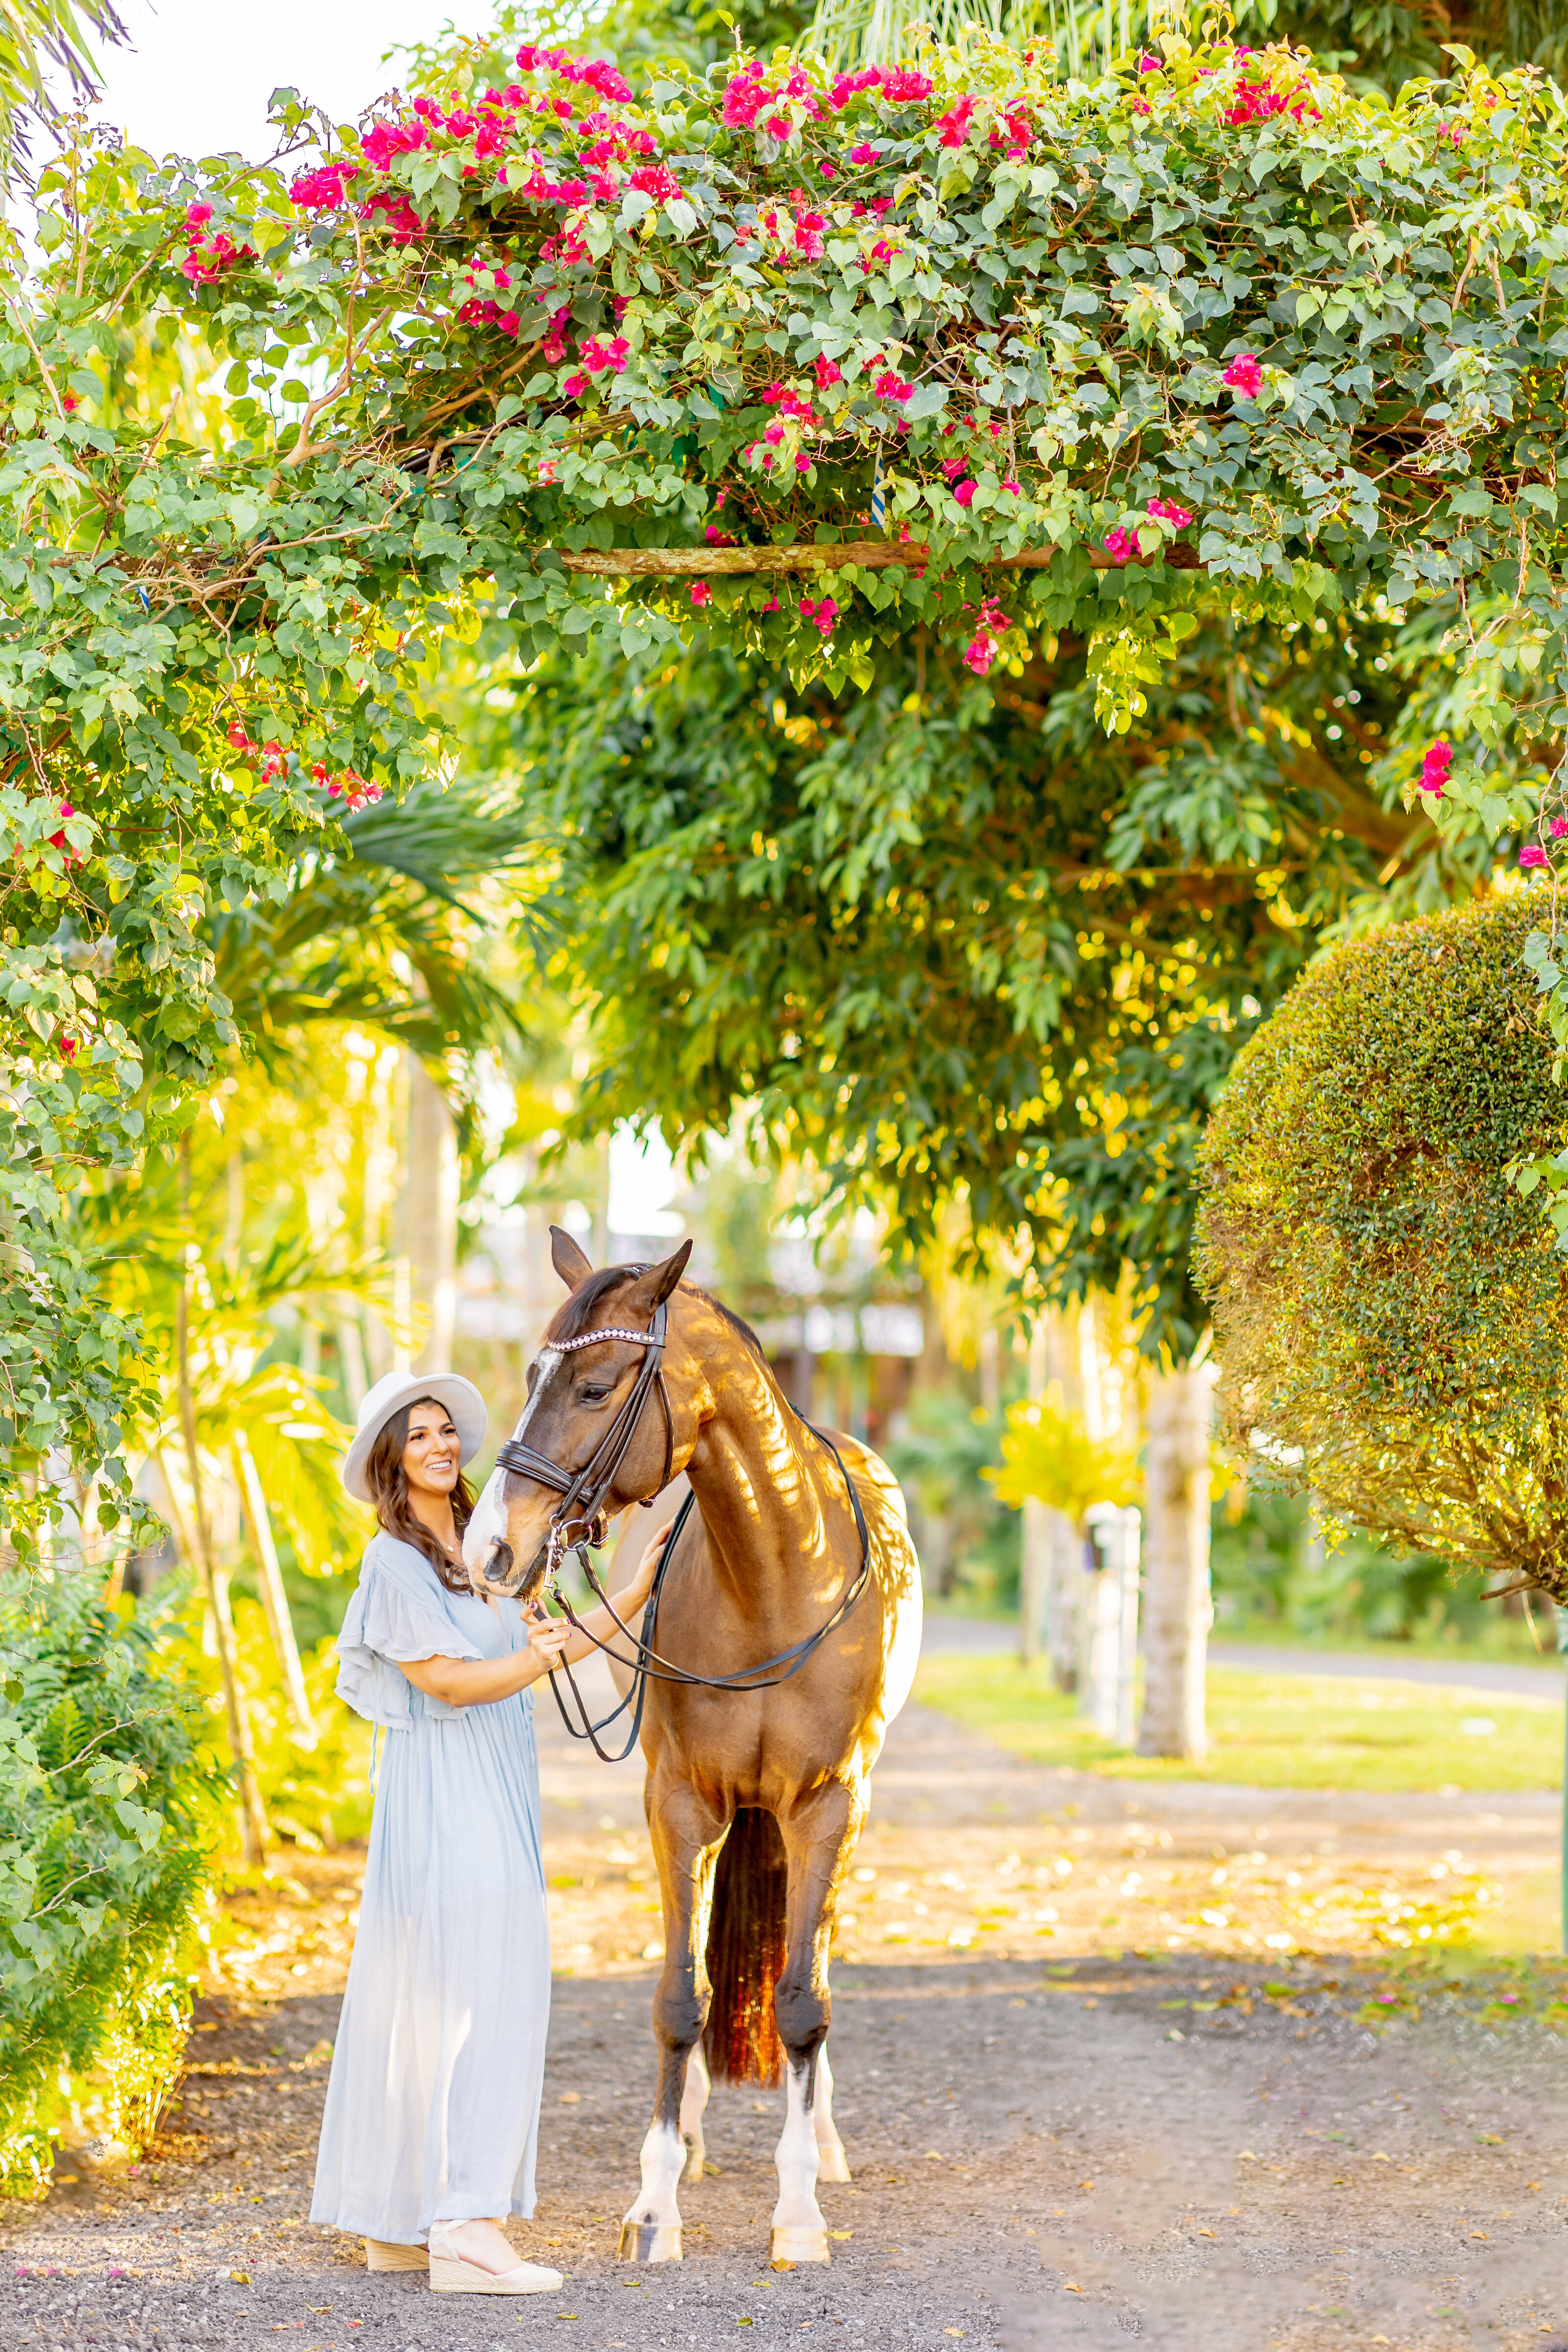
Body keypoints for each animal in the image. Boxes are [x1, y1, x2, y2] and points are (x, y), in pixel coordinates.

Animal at [462, 1229, 922, 2264]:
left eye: (596, 1387)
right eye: (530, 1373)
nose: (488, 1550)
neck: (777, 1579)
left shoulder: (830, 1804)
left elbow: (803, 2001)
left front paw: (798, 2213)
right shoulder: (678, 1803)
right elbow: (680, 1999)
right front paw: (656, 2205)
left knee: (816, 1956)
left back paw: (822, 2139)